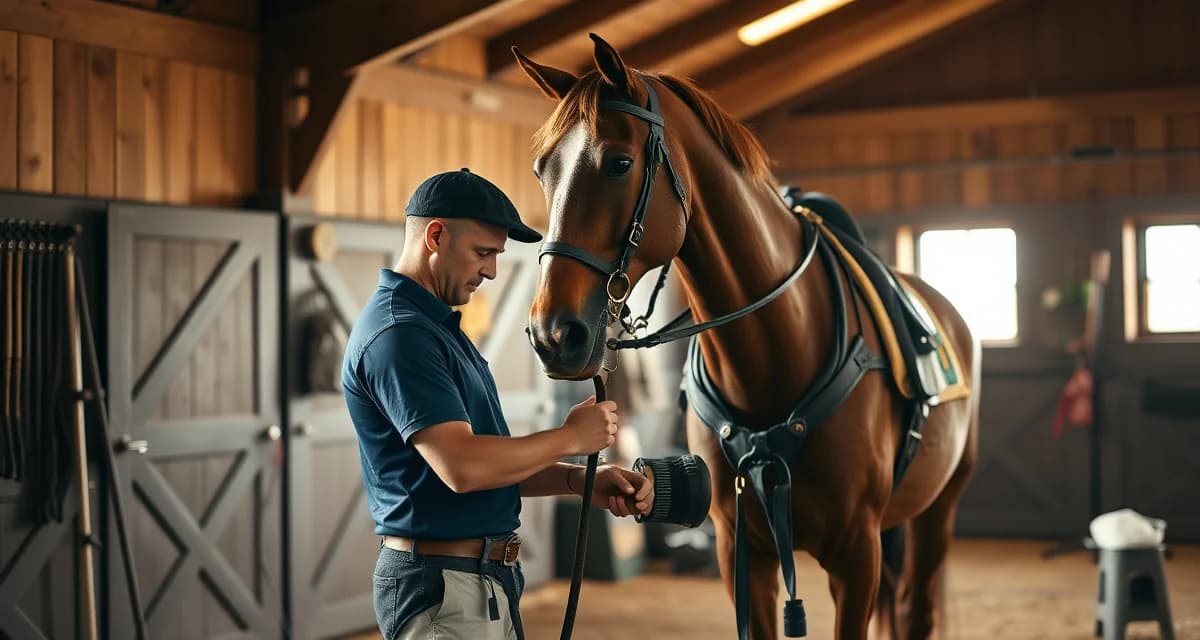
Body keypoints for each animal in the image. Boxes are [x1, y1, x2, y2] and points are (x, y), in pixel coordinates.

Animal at [517, 34, 981, 640]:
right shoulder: (741, 550)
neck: (777, 350)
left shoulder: (856, 554)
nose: (553, 334)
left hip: (937, 511)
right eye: (542, 171)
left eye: (619, 163)